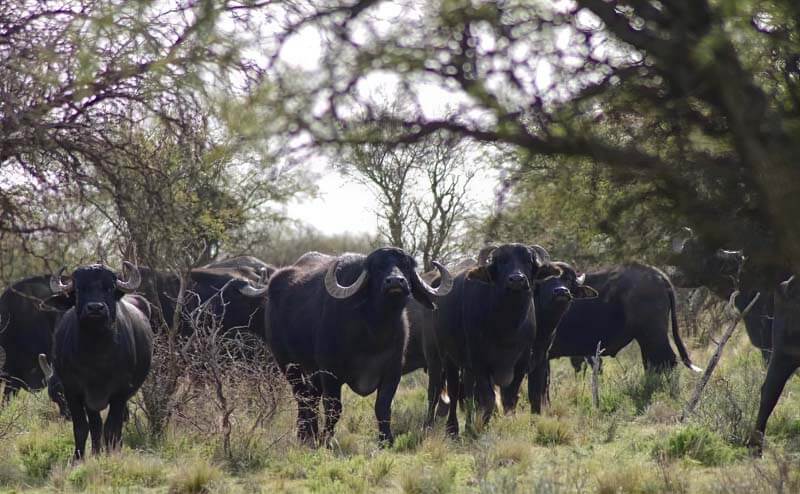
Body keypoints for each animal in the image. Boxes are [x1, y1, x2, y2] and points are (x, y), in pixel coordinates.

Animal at [48, 263, 153, 459]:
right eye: (79, 289)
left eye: (109, 288)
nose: (95, 308)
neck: (96, 357)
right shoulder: (73, 390)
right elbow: (83, 427)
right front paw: (80, 458)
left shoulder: (120, 393)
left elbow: (112, 428)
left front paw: (111, 455)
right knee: (95, 425)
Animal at [265, 248, 452, 445]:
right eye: (377, 267)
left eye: (406, 266)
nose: (395, 281)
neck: (374, 333)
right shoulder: (330, 372)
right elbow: (334, 408)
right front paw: (327, 440)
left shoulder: (392, 372)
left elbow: (383, 407)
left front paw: (386, 440)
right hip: (287, 364)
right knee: (302, 396)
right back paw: (306, 435)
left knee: (311, 397)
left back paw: (310, 434)